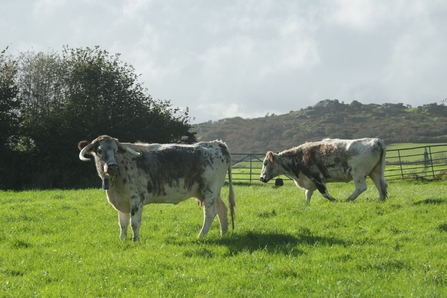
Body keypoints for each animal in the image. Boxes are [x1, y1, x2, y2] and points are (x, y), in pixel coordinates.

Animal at [78, 136, 236, 241]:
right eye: (99, 150)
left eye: (116, 150)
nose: (112, 167)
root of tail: (217, 143)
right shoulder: (120, 201)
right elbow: (122, 223)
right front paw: (122, 240)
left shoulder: (136, 199)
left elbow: (134, 223)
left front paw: (136, 241)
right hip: (212, 193)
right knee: (222, 209)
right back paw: (224, 233)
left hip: (210, 190)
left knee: (210, 213)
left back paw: (201, 236)